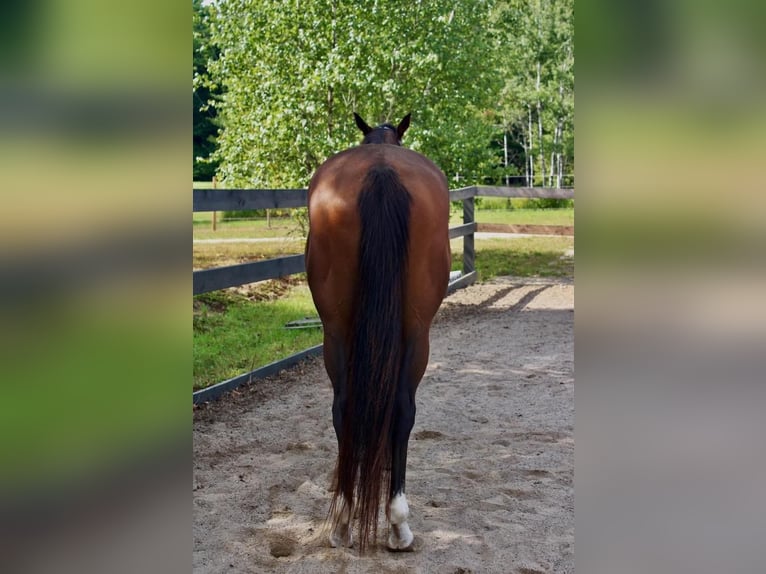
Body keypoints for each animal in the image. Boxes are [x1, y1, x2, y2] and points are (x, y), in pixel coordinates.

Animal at [304, 113, 450, 552]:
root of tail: (382, 172)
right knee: (403, 409)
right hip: (418, 332)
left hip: (335, 331)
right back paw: (398, 522)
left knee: (343, 407)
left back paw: (343, 519)